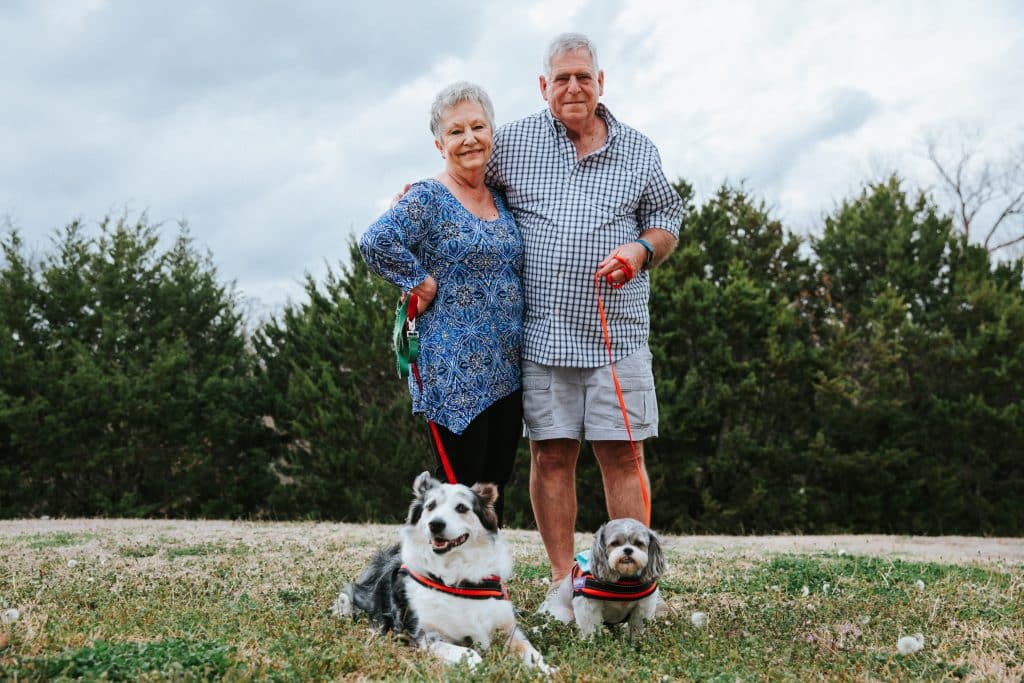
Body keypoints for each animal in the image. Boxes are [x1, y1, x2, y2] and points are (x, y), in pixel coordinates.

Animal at [331, 471, 552, 671]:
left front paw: (548, 670)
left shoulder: (509, 630)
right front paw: (481, 668)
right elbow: (471, 653)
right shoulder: (426, 635)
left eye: (461, 507)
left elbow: (531, 652)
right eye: (430, 506)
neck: (455, 572)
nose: (435, 524)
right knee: (347, 596)